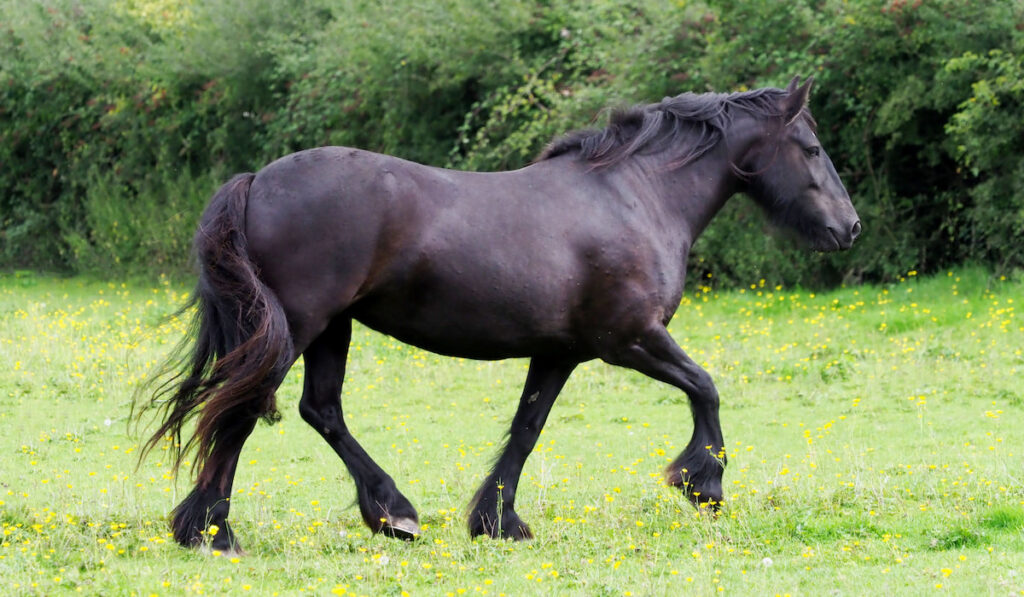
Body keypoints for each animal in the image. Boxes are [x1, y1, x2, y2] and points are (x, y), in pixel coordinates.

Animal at [136, 77, 856, 552]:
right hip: (299, 327)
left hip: (330, 328)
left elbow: (526, 429)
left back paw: (386, 514)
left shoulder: (561, 351)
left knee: (319, 410)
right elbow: (705, 386)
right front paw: (701, 481)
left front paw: (498, 522)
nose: (848, 227)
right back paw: (215, 531)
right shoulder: (629, 339)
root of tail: (258, 180)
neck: (636, 196)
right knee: (241, 414)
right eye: (812, 148)